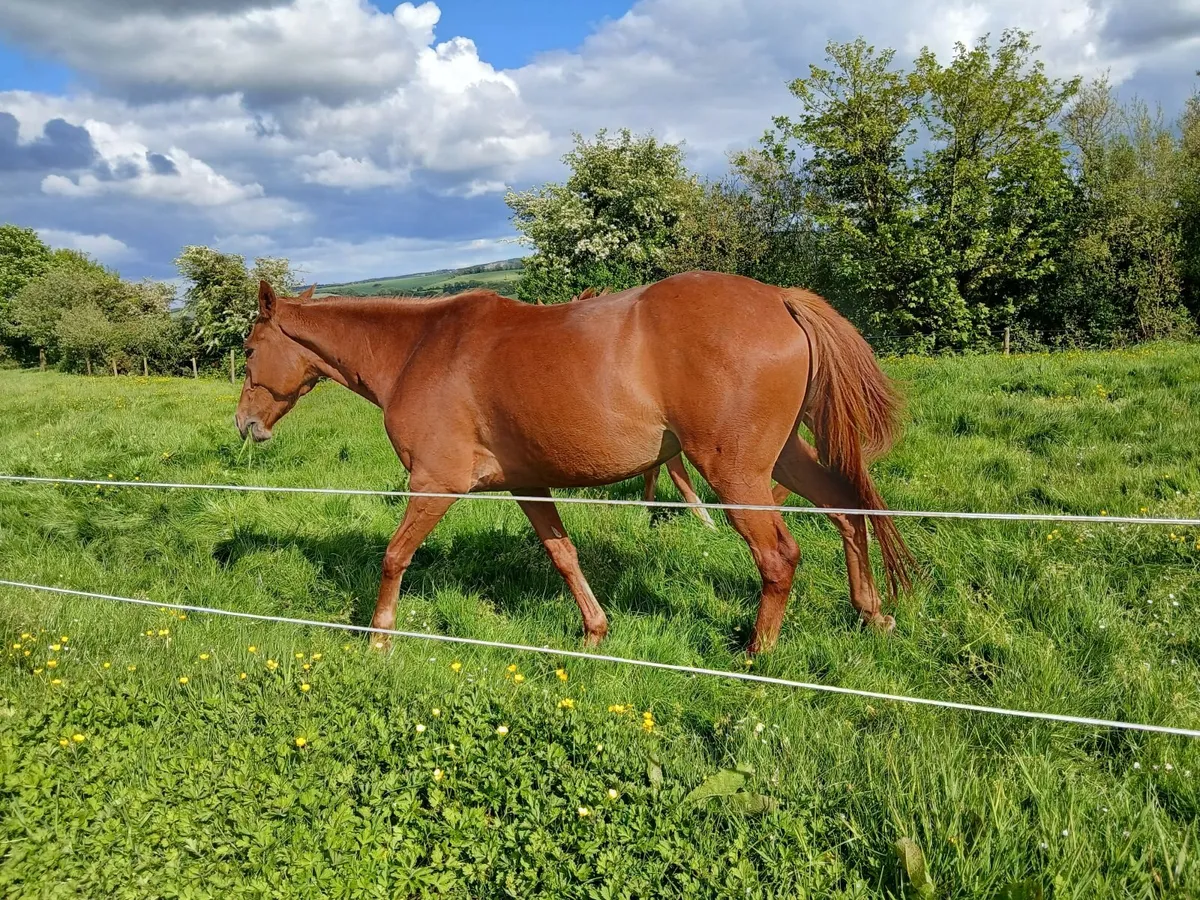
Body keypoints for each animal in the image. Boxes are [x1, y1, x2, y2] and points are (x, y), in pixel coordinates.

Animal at [235, 270, 913, 653]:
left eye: (247, 349)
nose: (245, 425)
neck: (418, 349)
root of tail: (778, 299)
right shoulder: (529, 486)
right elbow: (563, 555)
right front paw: (594, 631)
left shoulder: (434, 483)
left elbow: (394, 556)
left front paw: (379, 638)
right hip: (783, 458)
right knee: (845, 510)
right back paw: (871, 613)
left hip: (736, 472)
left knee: (779, 557)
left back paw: (758, 654)